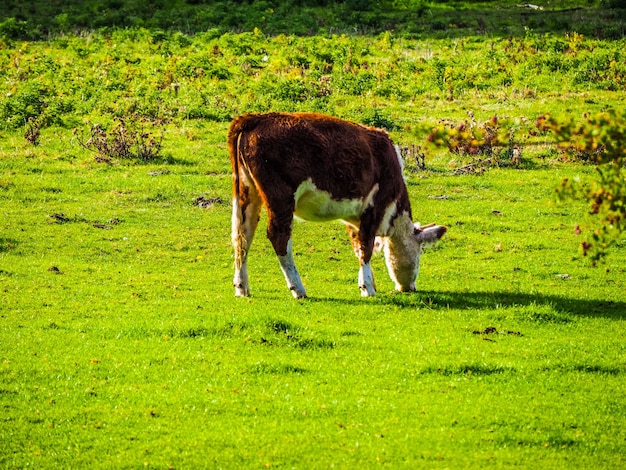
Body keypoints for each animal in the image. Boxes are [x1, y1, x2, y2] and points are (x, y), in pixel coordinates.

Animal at [228, 112, 444, 298]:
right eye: (420, 252)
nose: (410, 287)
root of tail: (257, 118)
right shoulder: (374, 207)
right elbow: (366, 246)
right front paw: (368, 287)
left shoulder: (356, 216)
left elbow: (359, 246)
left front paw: (368, 283)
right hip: (280, 197)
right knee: (278, 236)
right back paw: (298, 289)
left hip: (247, 192)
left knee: (242, 235)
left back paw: (242, 287)